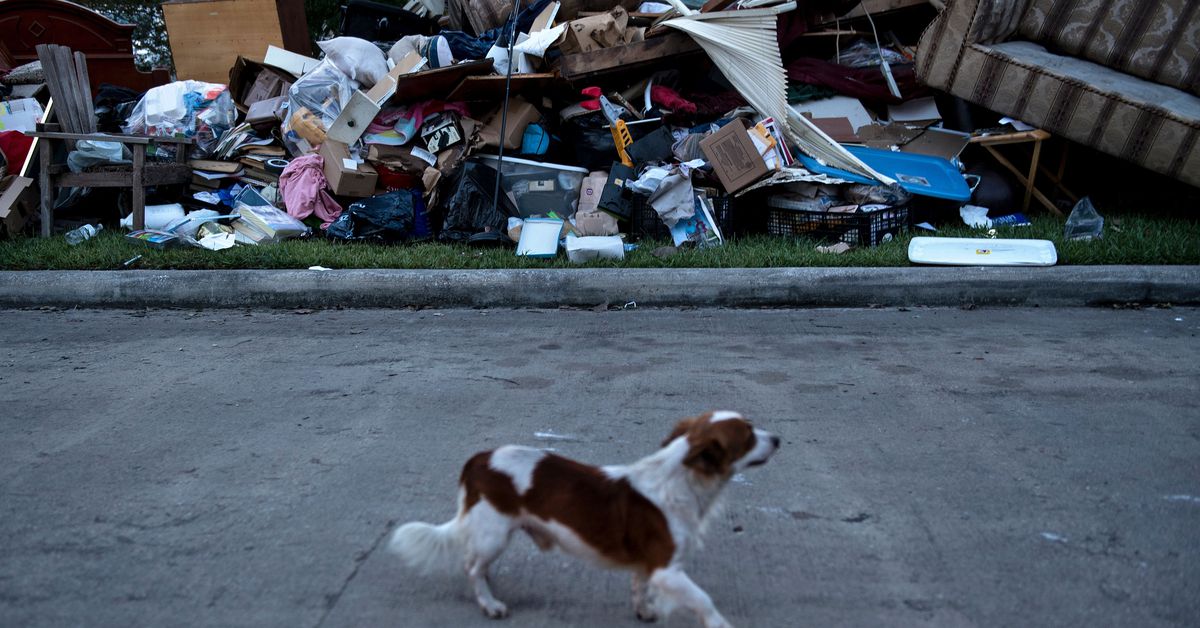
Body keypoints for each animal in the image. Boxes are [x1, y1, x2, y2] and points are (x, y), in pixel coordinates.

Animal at [384, 413, 777, 628]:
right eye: (748, 434)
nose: (777, 438)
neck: (681, 479)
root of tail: (478, 460)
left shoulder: (647, 565)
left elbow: (638, 587)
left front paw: (643, 611)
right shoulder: (668, 570)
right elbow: (703, 600)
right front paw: (721, 624)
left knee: (475, 562)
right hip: (495, 533)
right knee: (471, 567)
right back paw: (489, 603)